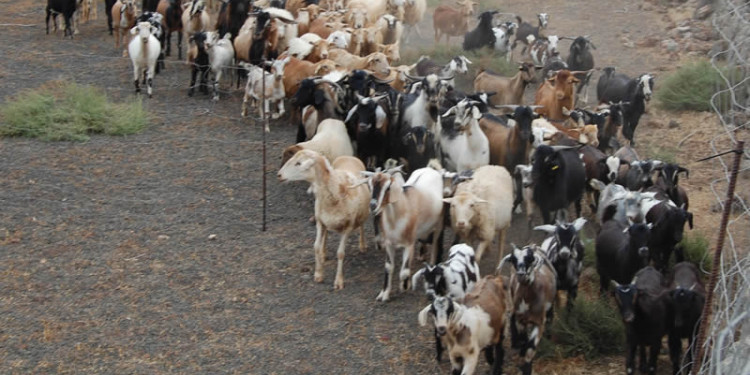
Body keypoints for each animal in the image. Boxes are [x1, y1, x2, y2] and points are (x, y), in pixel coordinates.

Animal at [278, 150, 372, 290]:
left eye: (298, 163)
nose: (279, 175)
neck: (335, 189)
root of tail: (349, 156)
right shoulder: (319, 222)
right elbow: (316, 246)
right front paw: (318, 273)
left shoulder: (347, 227)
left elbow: (340, 253)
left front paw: (338, 281)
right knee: (326, 233)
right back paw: (323, 253)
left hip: (362, 212)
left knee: (362, 225)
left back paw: (362, 244)